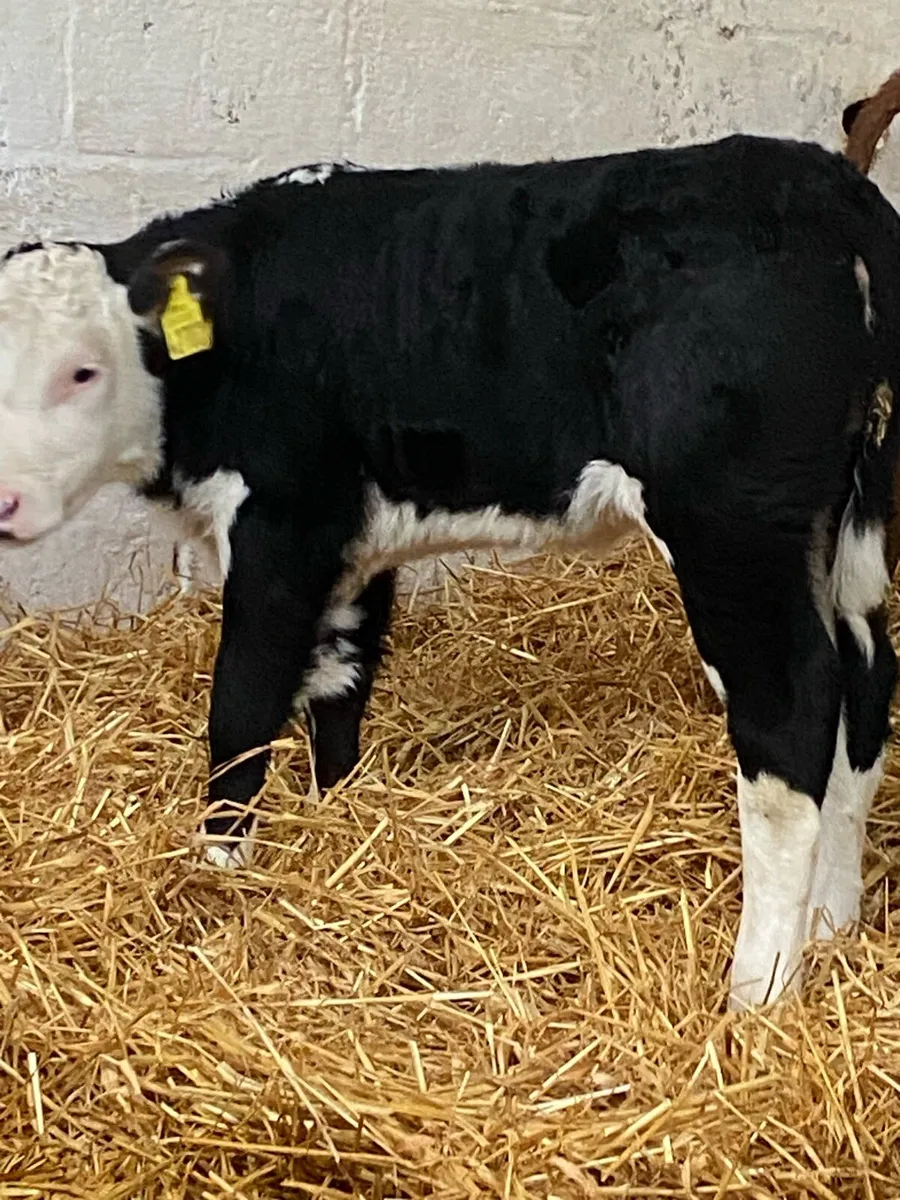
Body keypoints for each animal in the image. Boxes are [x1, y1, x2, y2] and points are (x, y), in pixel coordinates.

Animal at [2, 134, 900, 1011]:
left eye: (83, 370)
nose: (4, 500)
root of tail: (826, 183)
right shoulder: (355, 550)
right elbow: (340, 687)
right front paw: (342, 820)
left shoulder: (284, 527)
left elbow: (243, 705)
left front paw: (215, 871)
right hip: (848, 517)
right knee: (864, 678)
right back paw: (832, 925)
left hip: (731, 525)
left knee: (790, 711)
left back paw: (758, 989)